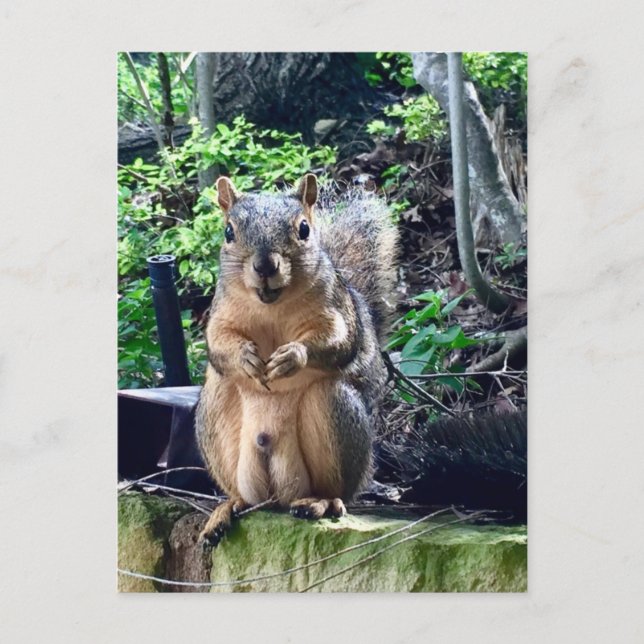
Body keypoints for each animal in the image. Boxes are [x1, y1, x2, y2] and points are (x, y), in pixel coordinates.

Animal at [195, 174, 398, 545]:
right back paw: (226, 509)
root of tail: (278, 495)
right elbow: (218, 344)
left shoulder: (336, 309)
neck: (271, 305)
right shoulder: (220, 314)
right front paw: (245, 357)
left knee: (335, 490)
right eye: (228, 232)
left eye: (304, 229)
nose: (264, 266)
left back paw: (321, 502)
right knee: (244, 497)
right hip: (216, 414)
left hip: (334, 411)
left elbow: (340, 341)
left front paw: (292, 357)